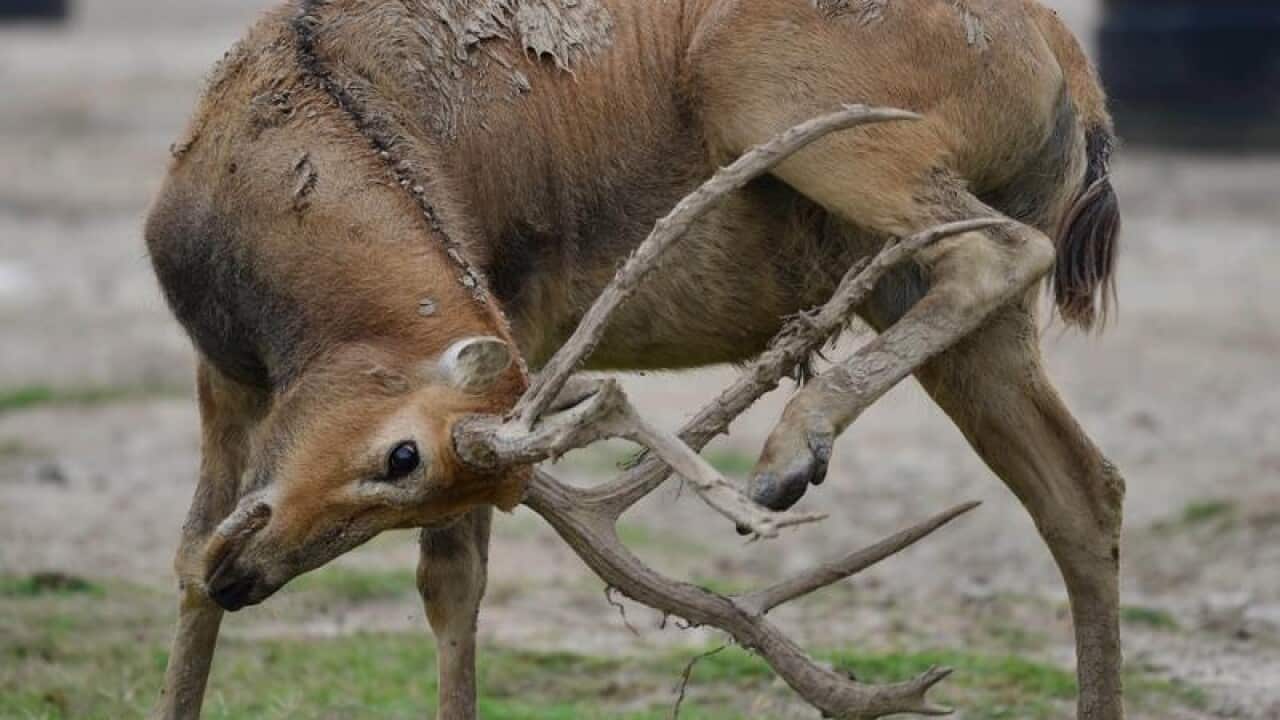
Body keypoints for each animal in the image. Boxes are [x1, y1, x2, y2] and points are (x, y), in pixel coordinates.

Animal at [144, 0, 1125, 718]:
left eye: (403, 457)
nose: (247, 579)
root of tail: (1070, 61)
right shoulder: (221, 370)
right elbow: (185, 564)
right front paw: (203, 594)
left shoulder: (522, 306)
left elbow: (452, 584)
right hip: (935, 278)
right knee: (1084, 491)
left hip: (779, 90)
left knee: (999, 251)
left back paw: (787, 456)